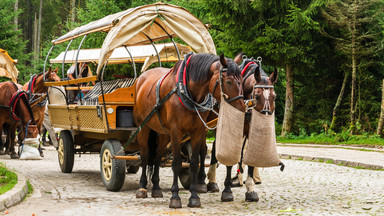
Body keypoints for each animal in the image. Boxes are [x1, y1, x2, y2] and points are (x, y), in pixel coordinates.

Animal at [134, 53, 244, 208]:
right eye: (228, 81)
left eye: (241, 80)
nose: (242, 108)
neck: (187, 91)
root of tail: (141, 78)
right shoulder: (176, 131)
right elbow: (176, 163)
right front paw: (175, 197)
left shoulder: (198, 131)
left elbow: (193, 162)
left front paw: (194, 197)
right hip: (143, 127)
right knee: (144, 155)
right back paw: (142, 188)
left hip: (162, 132)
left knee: (157, 156)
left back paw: (156, 188)